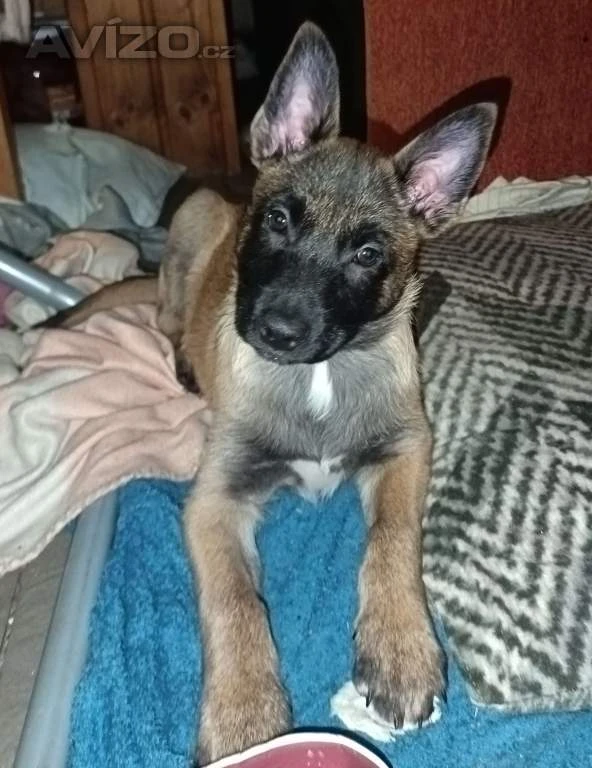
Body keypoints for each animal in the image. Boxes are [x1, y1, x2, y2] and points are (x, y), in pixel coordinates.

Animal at [46, 22, 496, 764]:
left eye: (367, 254)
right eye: (280, 221)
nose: (276, 331)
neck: (320, 378)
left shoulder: (407, 446)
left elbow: (393, 538)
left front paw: (399, 650)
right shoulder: (213, 501)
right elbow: (235, 600)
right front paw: (246, 717)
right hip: (195, 219)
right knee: (167, 314)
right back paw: (183, 358)